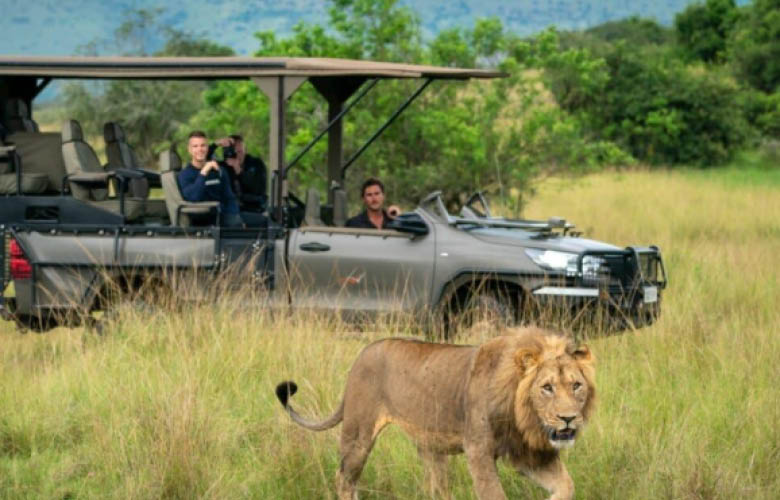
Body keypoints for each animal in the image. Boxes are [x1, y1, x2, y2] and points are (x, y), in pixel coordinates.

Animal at [275, 327, 595, 500]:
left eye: (576, 385)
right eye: (547, 388)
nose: (568, 418)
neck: (524, 418)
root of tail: (363, 351)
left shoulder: (527, 453)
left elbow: (566, 485)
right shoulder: (478, 450)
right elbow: (494, 494)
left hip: (430, 447)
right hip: (358, 433)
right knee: (344, 478)